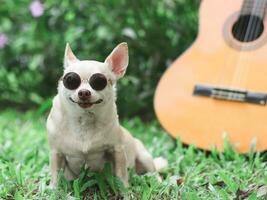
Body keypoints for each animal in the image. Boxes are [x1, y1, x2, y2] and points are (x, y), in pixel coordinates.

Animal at [47, 42, 166, 188]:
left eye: (99, 82)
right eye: (70, 80)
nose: (84, 92)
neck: (84, 119)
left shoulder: (117, 150)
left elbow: (121, 174)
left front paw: (124, 189)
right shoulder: (56, 153)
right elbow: (55, 174)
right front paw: (53, 189)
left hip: (145, 157)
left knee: (154, 173)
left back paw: (158, 182)